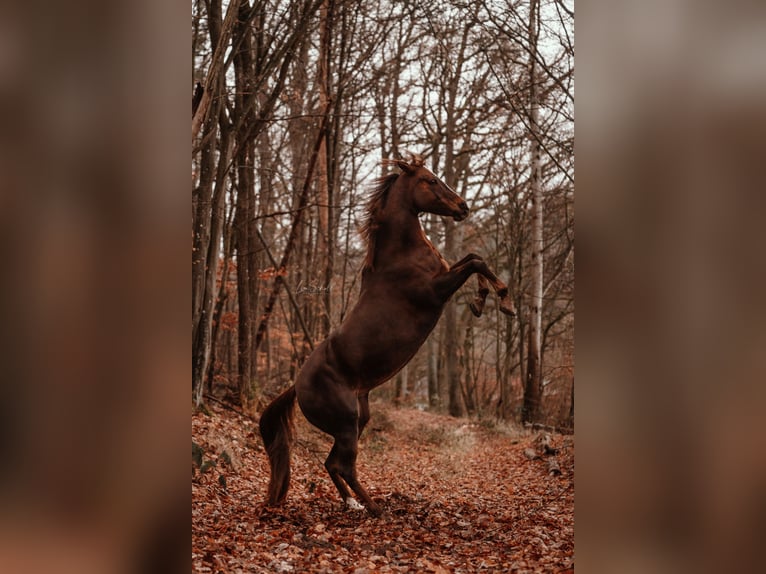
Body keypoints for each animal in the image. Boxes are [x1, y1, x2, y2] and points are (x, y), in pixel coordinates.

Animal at [258, 155, 514, 516]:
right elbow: (476, 262)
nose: (463, 207)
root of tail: (296, 385)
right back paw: (374, 507)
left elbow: (475, 257)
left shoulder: (446, 275)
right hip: (347, 423)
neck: (401, 255)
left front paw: (482, 301)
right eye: (431, 180)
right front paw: (502, 300)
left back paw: (354, 504)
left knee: (332, 463)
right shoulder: (436, 290)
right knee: (344, 465)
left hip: (357, 420)